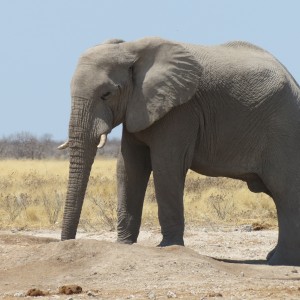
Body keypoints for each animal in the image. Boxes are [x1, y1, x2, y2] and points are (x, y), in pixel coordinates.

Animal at [58, 37, 300, 264]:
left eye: (106, 94)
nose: (68, 243)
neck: (131, 49)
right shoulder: (139, 107)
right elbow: (129, 168)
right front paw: (124, 244)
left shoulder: (180, 110)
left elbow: (166, 165)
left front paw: (168, 247)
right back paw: (274, 257)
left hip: (283, 130)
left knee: (284, 191)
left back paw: (280, 261)